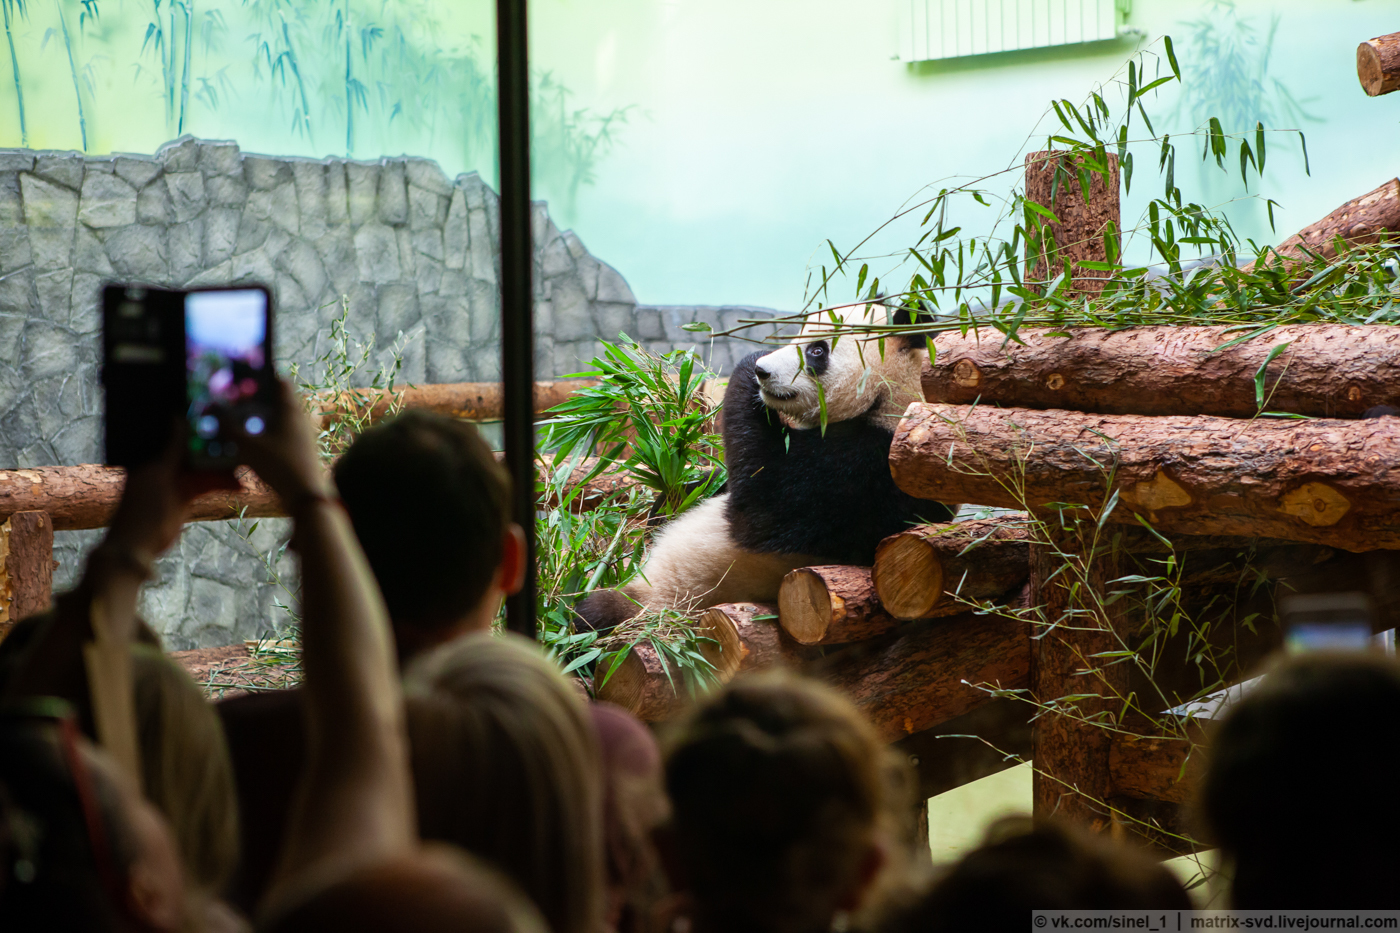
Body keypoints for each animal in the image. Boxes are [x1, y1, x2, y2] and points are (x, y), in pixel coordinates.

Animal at [574, 301, 957, 627]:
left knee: (594, 615)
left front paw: (749, 361)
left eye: (817, 350)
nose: (763, 371)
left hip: (665, 599)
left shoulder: (872, 470)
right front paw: (676, 492)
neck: (888, 397)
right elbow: (716, 482)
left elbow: (763, 508)